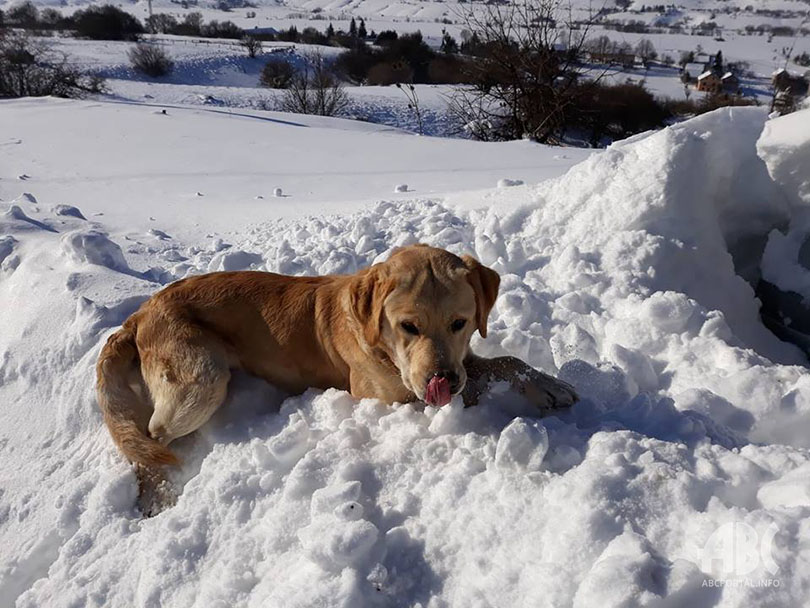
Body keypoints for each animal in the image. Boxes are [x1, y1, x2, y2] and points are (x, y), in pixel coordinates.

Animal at [97, 245, 577, 509]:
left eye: (461, 322)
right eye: (408, 326)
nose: (440, 380)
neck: (381, 342)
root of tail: (137, 315)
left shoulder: (461, 358)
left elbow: (505, 360)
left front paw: (551, 385)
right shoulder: (390, 394)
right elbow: (476, 381)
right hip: (203, 376)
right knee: (152, 436)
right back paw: (157, 492)